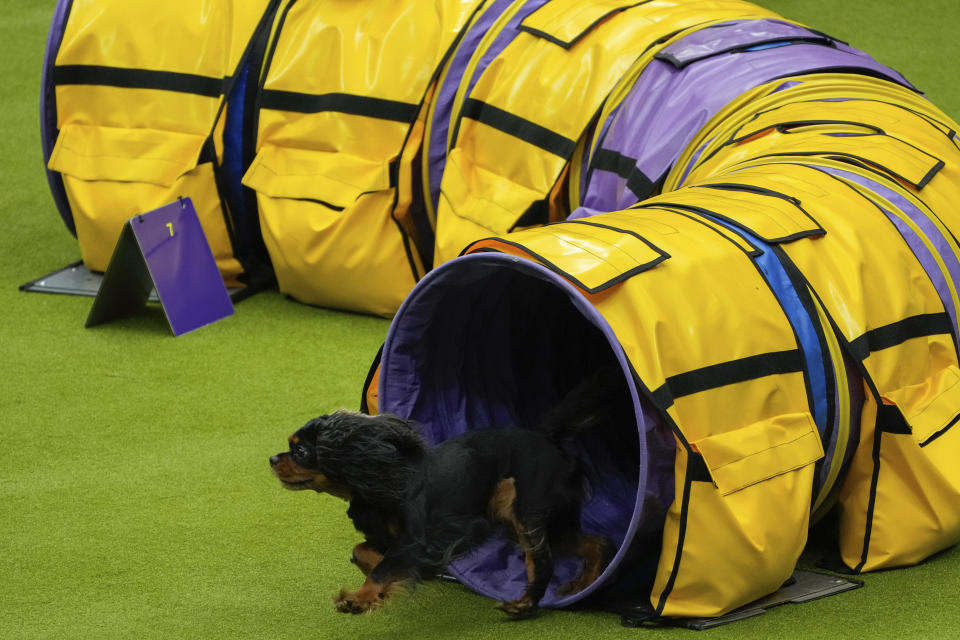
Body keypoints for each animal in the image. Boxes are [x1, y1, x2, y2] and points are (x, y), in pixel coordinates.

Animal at [270, 372, 620, 616]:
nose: (273, 459)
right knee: (596, 543)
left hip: (522, 507)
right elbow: (364, 552)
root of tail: (546, 437)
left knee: (542, 561)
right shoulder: (390, 540)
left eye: (300, 451)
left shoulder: (420, 538)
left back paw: (523, 606)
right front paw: (385, 590)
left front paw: (358, 599)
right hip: (531, 518)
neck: (380, 476)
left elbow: (384, 566)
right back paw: (581, 583)